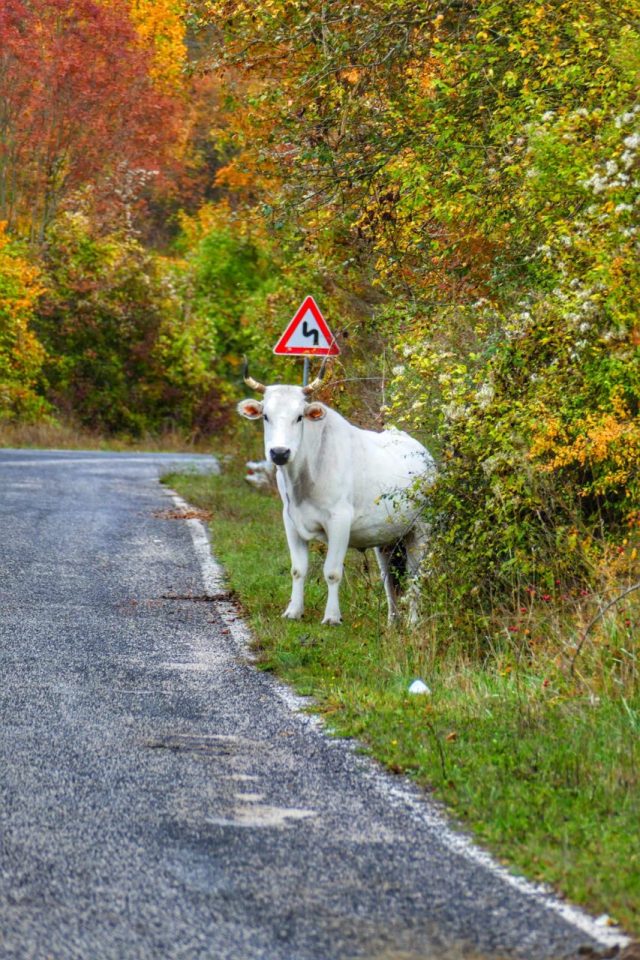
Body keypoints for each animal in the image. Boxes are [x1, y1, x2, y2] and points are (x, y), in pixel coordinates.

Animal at [238, 360, 438, 624]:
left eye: (299, 417)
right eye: (266, 416)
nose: (279, 452)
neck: (303, 482)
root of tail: (425, 455)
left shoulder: (339, 520)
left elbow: (332, 572)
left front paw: (332, 617)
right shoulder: (290, 520)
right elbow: (298, 569)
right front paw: (293, 611)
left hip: (421, 528)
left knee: (416, 575)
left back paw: (413, 622)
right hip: (388, 538)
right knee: (389, 579)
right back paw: (393, 622)